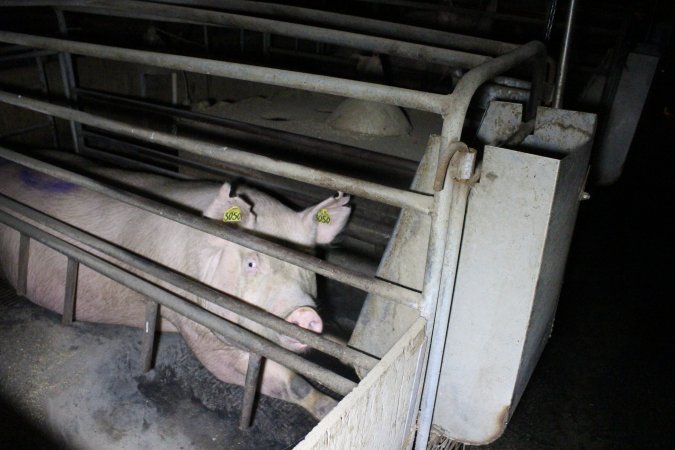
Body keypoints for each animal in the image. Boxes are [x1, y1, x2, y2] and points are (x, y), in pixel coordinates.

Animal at [0, 151, 352, 418]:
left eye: (306, 264)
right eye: (251, 263)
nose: (304, 314)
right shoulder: (197, 325)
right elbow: (240, 370)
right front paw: (328, 405)